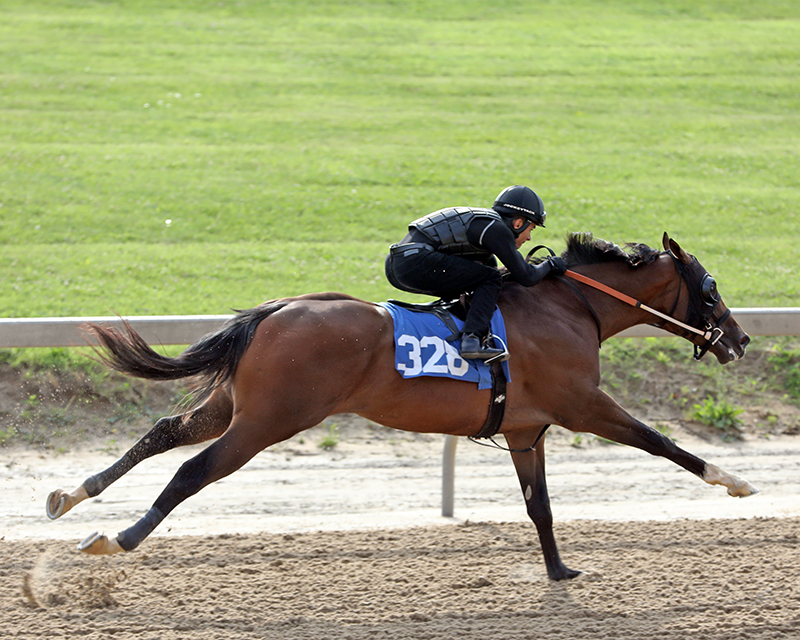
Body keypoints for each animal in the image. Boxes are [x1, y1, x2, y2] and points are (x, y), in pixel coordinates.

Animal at [45, 231, 756, 580]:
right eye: (711, 286)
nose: (741, 339)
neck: (570, 308)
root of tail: (277, 309)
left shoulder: (525, 430)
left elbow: (541, 507)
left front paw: (560, 573)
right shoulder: (582, 405)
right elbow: (660, 441)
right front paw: (734, 481)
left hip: (235, 405)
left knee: (167, 430)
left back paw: (70, 496)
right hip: (271, 420)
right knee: (194, 469)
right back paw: (118, 536)